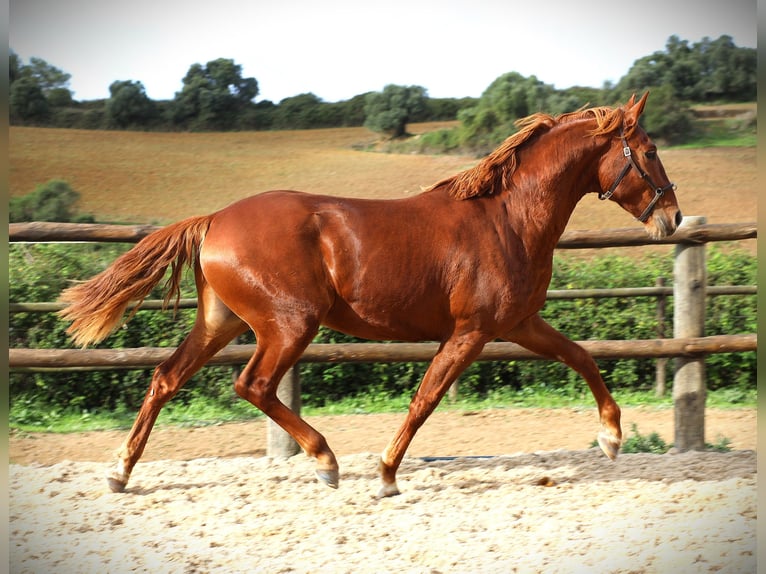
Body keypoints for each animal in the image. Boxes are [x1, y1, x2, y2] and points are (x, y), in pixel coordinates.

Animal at [63, 92, 680, 498]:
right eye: (649, 151)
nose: (673, 217)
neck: (508, 218)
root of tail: (214, 219)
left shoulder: (518, 324)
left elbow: (582, 356)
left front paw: (611, 438)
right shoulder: (473, 332)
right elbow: (425, 399)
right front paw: (385, 475)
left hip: (222, 322)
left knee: (166, 378)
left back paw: (119, 473)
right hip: (289, 325)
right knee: (253, 384)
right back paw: (325, 461)